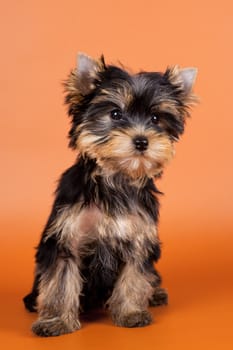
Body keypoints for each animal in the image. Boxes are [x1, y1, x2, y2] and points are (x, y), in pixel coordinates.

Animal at [23, 52, 198, 336]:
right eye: (115, 114)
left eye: (155, 119)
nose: (141, 141)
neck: (116, 179)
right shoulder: (67, 235)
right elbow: (61, 280)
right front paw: (56, 320)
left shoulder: (139, 237)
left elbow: (134, 277)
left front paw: (130, 313)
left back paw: (155, 292)